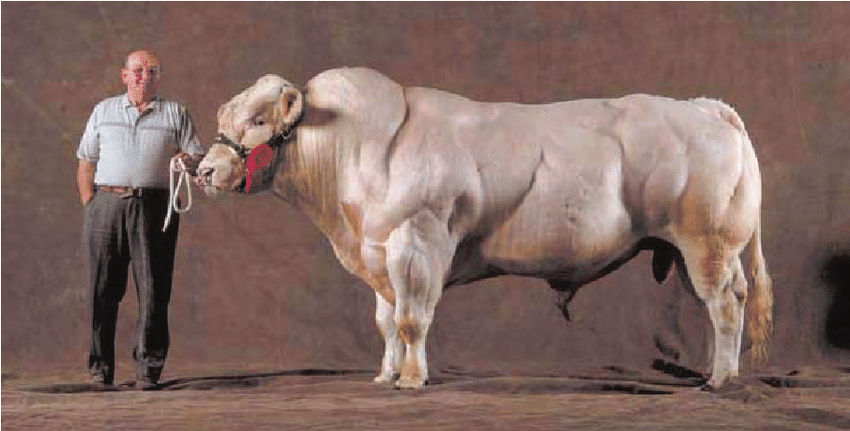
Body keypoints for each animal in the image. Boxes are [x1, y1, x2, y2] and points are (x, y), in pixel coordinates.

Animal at [196, 67, 773, 390]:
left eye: (257, 121)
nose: (203, 170)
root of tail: (704, 108)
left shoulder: (416, 243)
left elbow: (411, 321)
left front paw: (411, 379)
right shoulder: (380, 253)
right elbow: (385, 322)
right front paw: (384, 374)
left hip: (708, 243)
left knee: (725, 304)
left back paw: (720, 380)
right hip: (694, 251)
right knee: (721, 304)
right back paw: (719, 371)